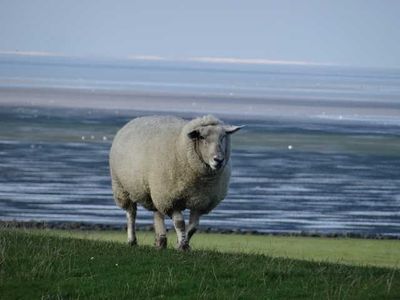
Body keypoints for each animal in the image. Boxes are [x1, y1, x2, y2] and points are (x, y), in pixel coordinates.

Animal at [108, 115, 242, 251]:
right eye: (202, 137)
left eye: (223, 137)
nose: (218, 160)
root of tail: (137, 118)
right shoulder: (171, 200)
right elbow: (180, 223)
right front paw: (182, 245)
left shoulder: (200, 202)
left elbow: (194, 226)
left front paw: (181, 243)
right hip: (122, 187)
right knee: (131, 213)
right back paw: (132, 240)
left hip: (156, 190)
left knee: (158, 213)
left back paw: (160, 241)